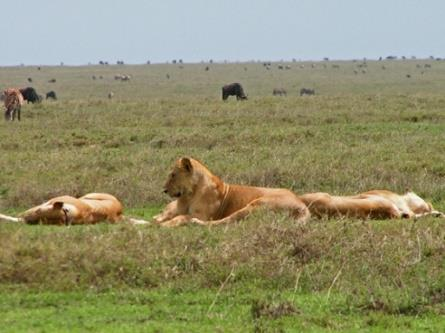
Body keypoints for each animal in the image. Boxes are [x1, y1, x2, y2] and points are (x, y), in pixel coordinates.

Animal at [153, 158, 308, 226]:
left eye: (173, 175)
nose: (164, 190)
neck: (188, 195)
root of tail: (302, 205)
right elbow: (164, 216)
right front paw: (155, 221)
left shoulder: (203, 215)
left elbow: (181, 217)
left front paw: (165, 225)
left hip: (256, 204)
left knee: (224, 221)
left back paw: (195, 222)